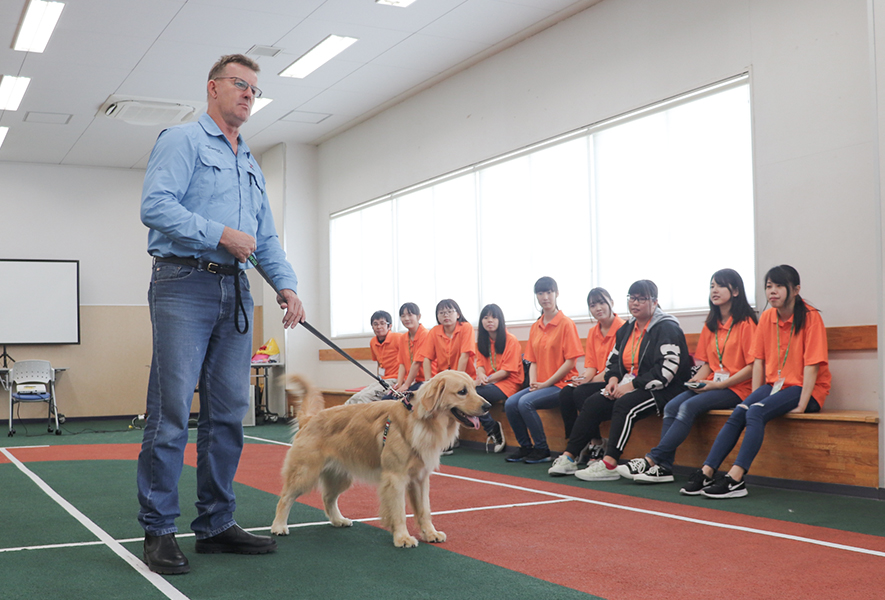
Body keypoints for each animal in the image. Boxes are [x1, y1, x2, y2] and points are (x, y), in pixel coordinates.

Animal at [270, 372, 490, 548]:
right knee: (285, 498)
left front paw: (430, 533)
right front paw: (402, 538)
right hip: (305, 473)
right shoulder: (395, 478)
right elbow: (399, 511)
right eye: (462, 391)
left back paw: (338, 520)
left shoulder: (420, 479)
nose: (487, 406)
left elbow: (424, 510)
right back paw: (278, 526)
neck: (420, 422)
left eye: (474, 388)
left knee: (328, 498)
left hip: (341, 476)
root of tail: (310, 419)